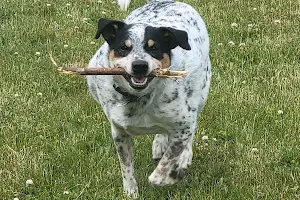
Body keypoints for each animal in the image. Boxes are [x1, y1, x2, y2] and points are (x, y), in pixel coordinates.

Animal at [87, 0, 211, 198]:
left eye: (154, 48)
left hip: (200, 94)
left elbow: (167, 161)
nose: (140, 65)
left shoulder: (183, 126)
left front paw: (170, 174)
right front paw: (130, 191)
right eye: (124, 47)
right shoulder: (119, 133)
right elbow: (126, 166)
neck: (139, 99)